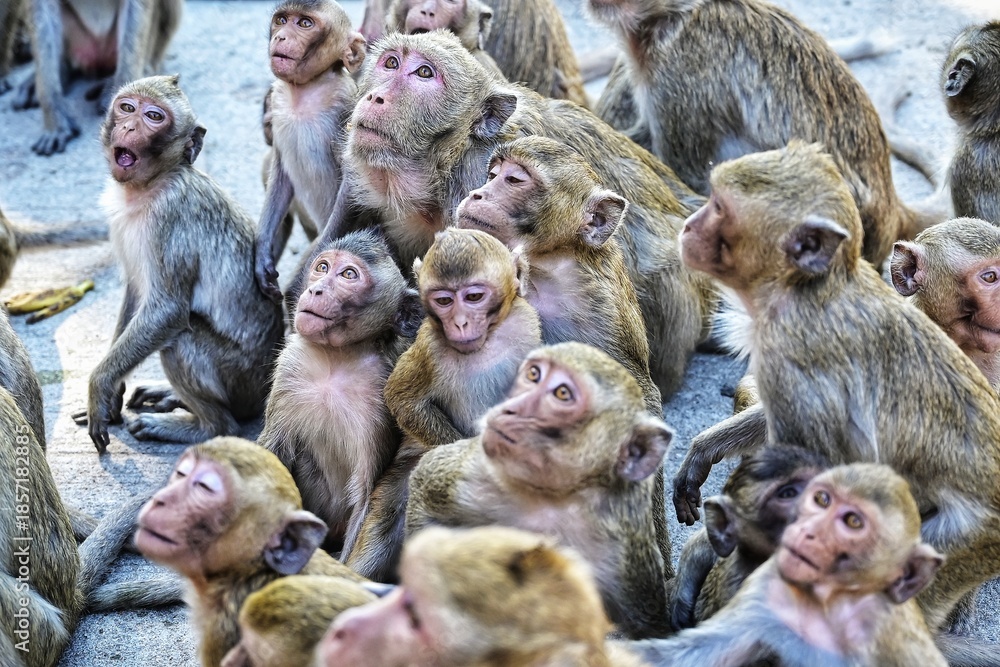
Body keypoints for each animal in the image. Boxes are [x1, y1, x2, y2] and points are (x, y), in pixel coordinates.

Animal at [75, 75, 284, 453]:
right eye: (127, 107)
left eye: (154, 117)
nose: (129, 126)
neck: (151, 184)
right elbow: (136, 291)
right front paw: (112, 392)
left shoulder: (170, 216)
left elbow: (168, 310)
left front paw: (99, 384)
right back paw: (171, 396)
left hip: (240, 380)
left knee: (180, 339)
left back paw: (200, 427)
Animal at [254, 0, 367, 303]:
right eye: (282, 20)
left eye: (305, 24)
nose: (281, 37)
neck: (304, 93)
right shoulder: (277, 99)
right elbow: (281, 176)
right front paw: (261, 254)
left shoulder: (346, 108)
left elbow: (352, 187)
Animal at [258, 229, 422, 556]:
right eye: (322, 268)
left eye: (348, 274)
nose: (316, 290)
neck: (336, 359)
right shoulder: (290, 366)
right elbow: (273, 453)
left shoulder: (381, 392)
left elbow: (365, 497)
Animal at [345, 227, 540, 581]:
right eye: (444, 301)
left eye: (473, 297)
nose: (460, 323)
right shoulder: (429, 346)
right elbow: (402, 399)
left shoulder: (526, 327)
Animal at [406, 342, 675, 639]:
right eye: (534, 374)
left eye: (562, 393)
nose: (510, 409)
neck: (553, 496)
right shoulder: (475, 474)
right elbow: (423, 488)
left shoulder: (622, 546)